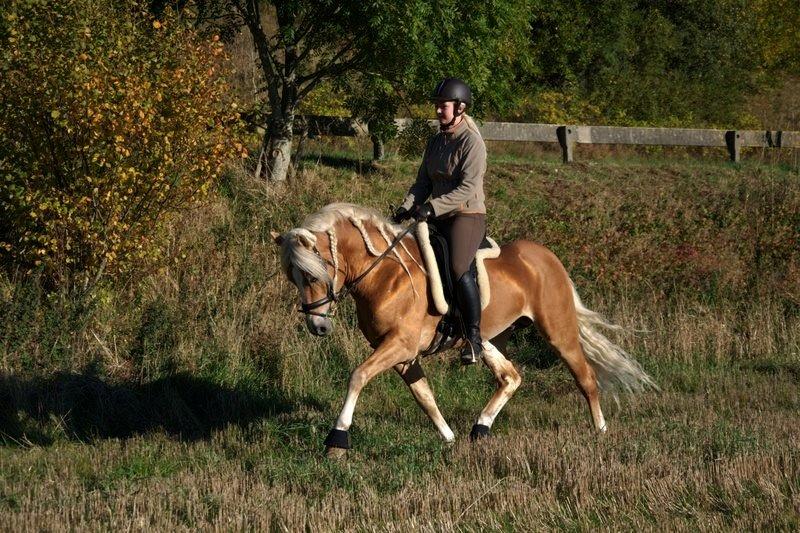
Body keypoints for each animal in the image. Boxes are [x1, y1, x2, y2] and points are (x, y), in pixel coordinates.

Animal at [272, 202, 652, 456]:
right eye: (294, 277)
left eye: (312, 274)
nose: (318, 326)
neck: (385, 274)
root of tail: (547, 258)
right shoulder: (400, 354)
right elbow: (424, 396)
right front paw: (448, 437)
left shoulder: (399, 345)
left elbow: (358, 376)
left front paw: (337, 439)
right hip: (486, 338)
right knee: (510, 377)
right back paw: (480, 428)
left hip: (558, 332)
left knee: (585, 376)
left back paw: (600, 430)